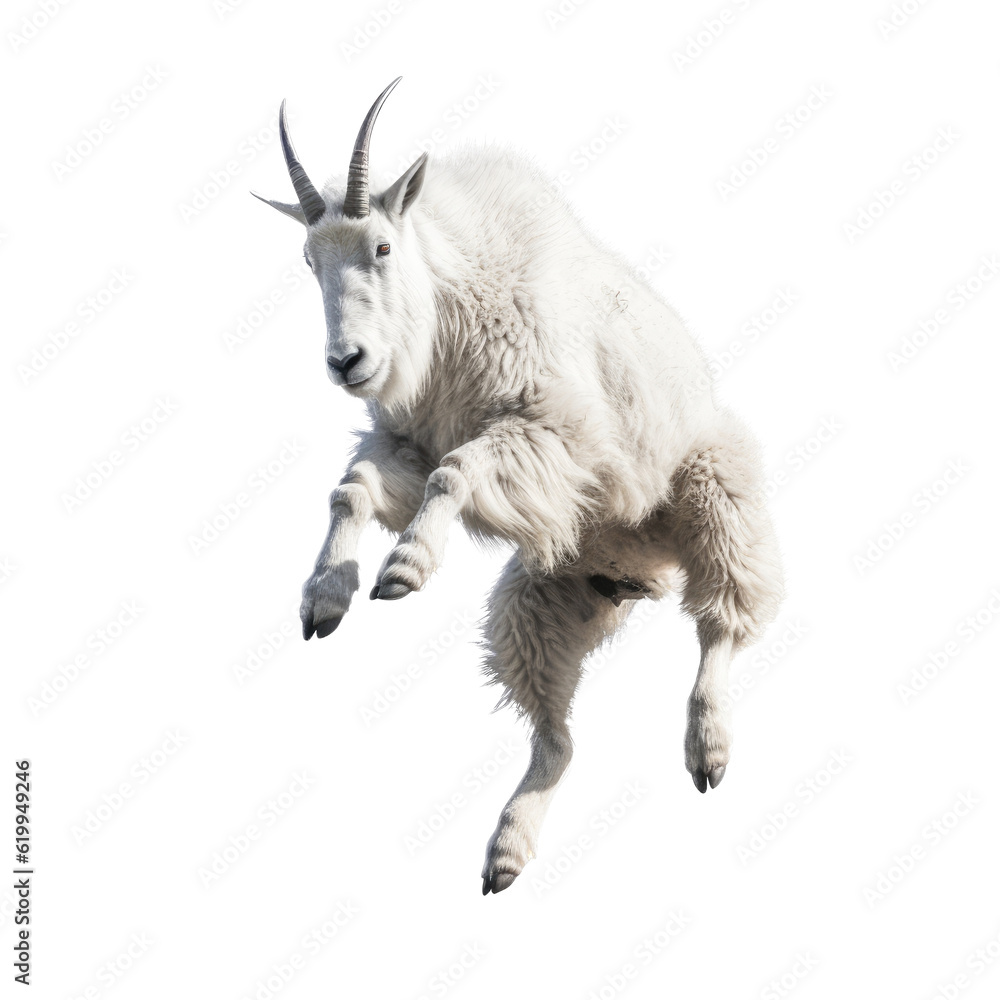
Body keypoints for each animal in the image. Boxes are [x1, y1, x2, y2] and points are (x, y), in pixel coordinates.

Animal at [253, 78, 783, 894]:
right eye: (309, 259)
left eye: (380, 247)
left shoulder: (554, 430)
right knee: (556, 735)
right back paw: (505, 853)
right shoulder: (406, 439)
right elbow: (356, 487)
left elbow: (457, 471)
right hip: (542, 596)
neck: (449, 301)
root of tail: (646, 575)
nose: (348, 362)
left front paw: (403, 570)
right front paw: (325, 598)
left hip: (715, 488)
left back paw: (708, 748)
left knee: (723, 620)